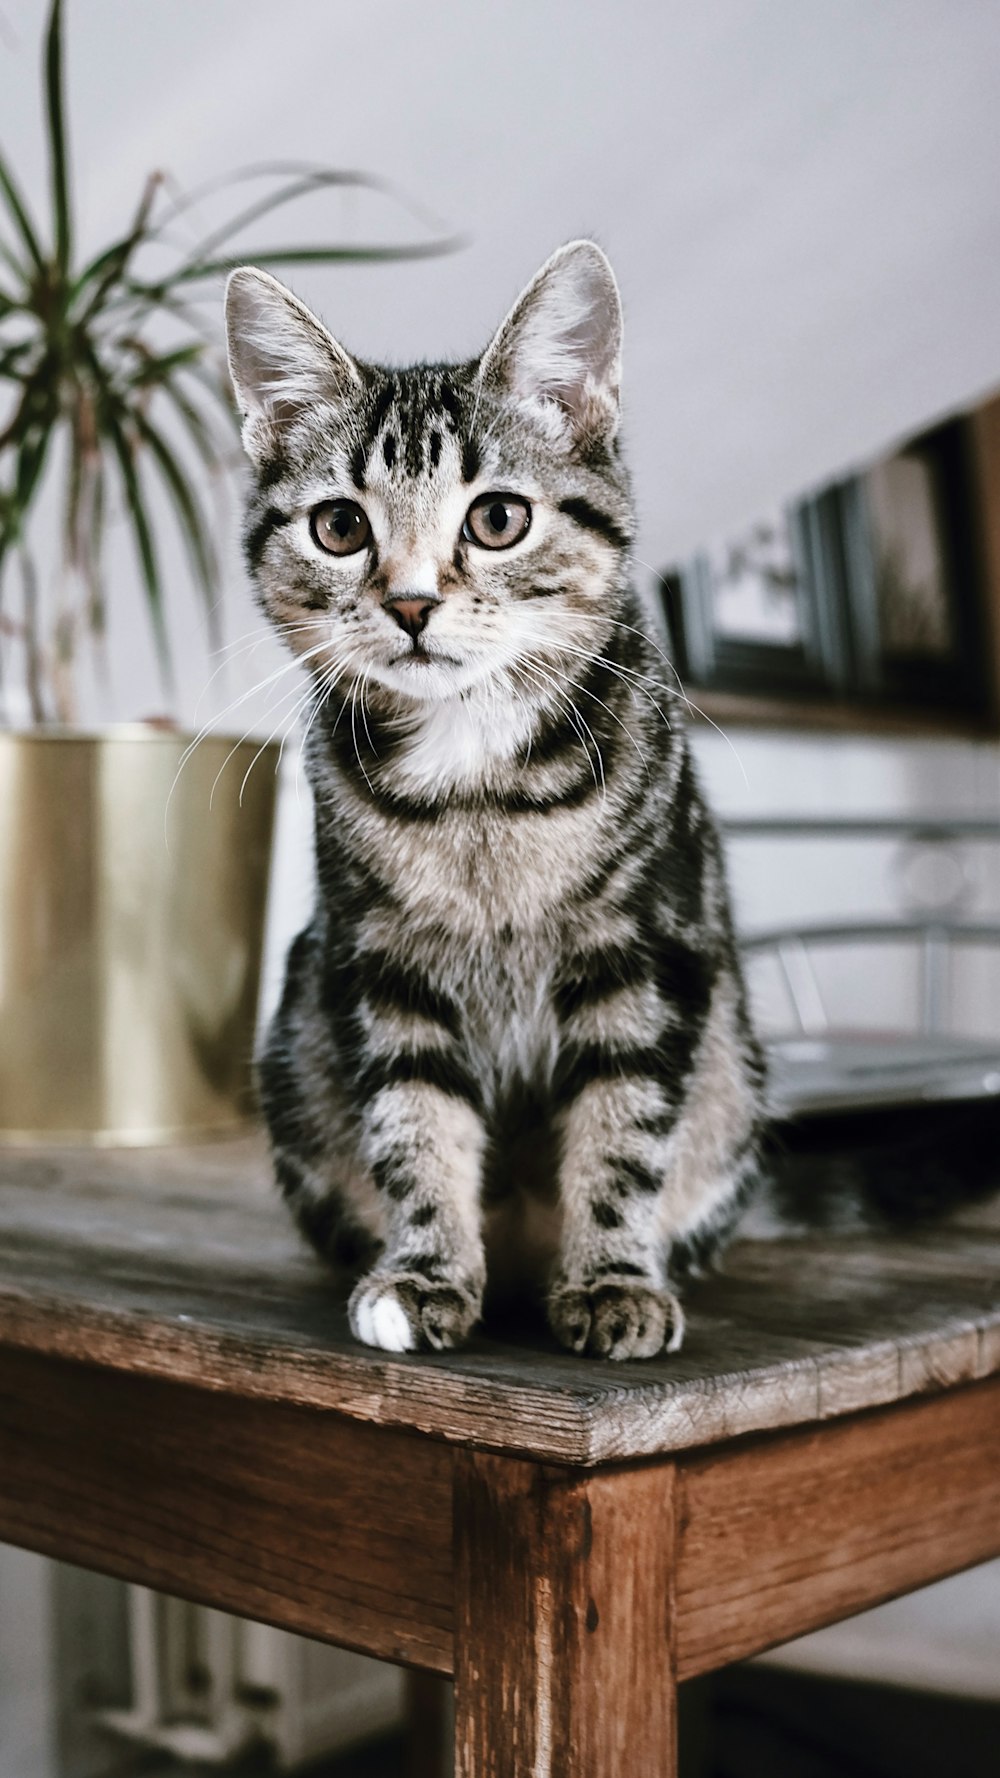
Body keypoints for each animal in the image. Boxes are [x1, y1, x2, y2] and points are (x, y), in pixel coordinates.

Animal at [224, 243, 761, 1358]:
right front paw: (423, 1271)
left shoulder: (647, 945)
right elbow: (413, 1119)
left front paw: (612, 1279)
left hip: (732, 1069)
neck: (476, 785)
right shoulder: (380, 958)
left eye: (497, 518)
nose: (411, 602)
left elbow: (622, 1124)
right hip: (298, 1034)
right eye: (339, 526)